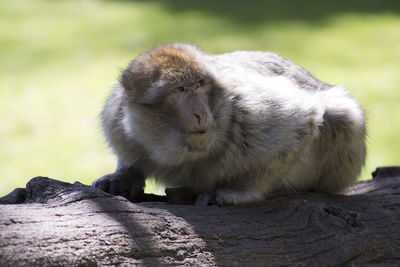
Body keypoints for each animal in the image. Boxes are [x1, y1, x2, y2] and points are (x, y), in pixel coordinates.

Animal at [92, 43, 368, 207]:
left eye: (200, 84)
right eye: (179, 90)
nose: (200, 114)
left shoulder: (249, 108)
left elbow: (303, 121)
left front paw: (238, 192)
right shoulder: (117, 120)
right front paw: (125, 175)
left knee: (341, 115)